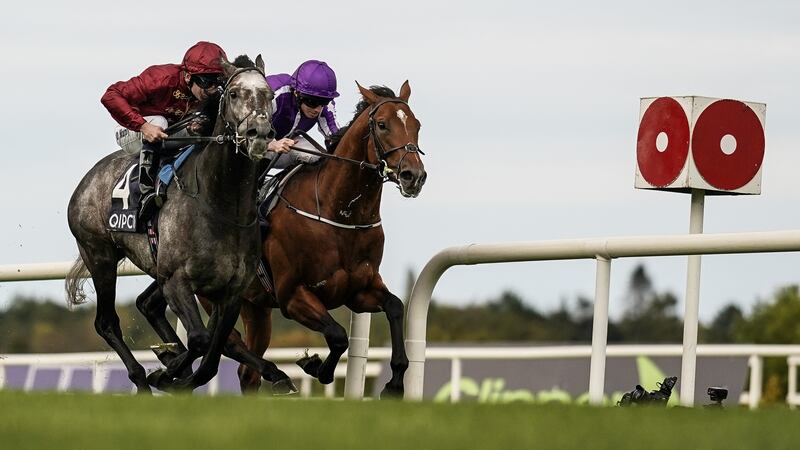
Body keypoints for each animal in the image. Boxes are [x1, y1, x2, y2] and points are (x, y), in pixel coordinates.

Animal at [65, 55, 296, 394]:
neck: (220, 205)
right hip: (100, 255)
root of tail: (88, 178)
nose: (260, 134)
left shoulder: (232, 292)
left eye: (269, 95)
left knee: (147, 307)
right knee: (106, 322)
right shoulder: (176, 280)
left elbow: (214, 350)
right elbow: (201, 340)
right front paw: (166, 372)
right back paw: (142, 378)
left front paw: (175, 371)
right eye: (234, 94)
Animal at [223, 82, 424, 396]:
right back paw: (278, 375)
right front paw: (315, 366)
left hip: (254, 306)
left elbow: (395, 306)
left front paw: (394, 382)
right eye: (382, 124)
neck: (340, 214)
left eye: (417, 125)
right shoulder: (293, 295)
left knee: (247, 372)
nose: (413, 175)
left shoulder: (358, 290)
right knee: (229, 342)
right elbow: (338, 335)